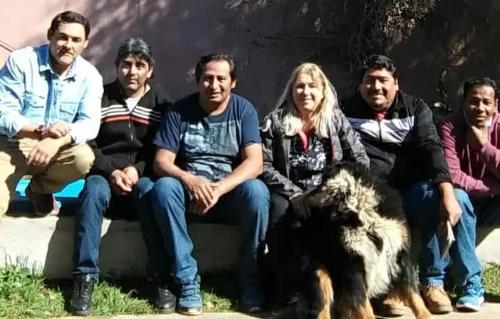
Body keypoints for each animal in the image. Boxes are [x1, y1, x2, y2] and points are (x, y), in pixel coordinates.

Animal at [272, 164, 432, 318]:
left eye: (321, 182)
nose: (297, 201)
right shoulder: (352, 263)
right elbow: (362, 303)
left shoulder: (399, 253)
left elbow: (414, 293)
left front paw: (425, 315)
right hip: (317, 272)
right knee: (322, 307)